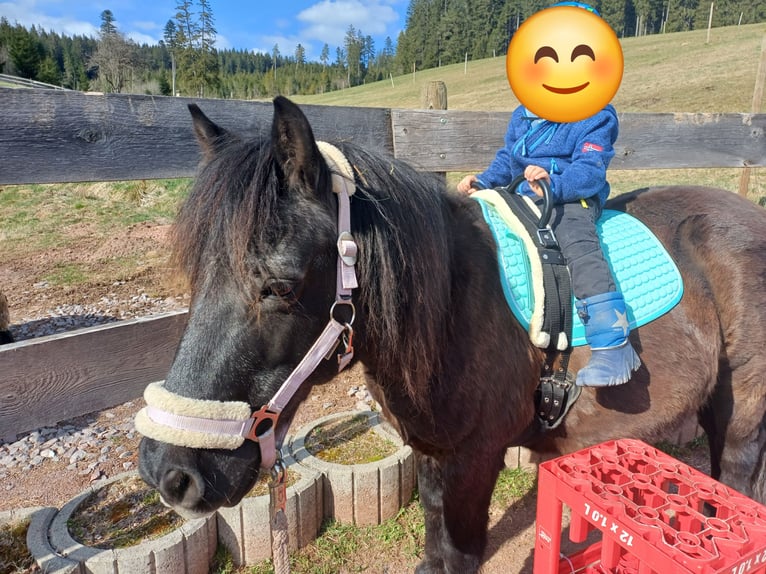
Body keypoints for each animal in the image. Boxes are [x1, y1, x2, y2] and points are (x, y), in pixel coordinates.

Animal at [137, 96, 766, 573]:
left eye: (280, 285)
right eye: (196, 275)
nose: (168, 473)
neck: (453, 307)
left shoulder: (473, 464)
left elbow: (459, 554)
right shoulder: (435, 457)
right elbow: (436, 543)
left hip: (742, 411)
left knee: (734, 479)